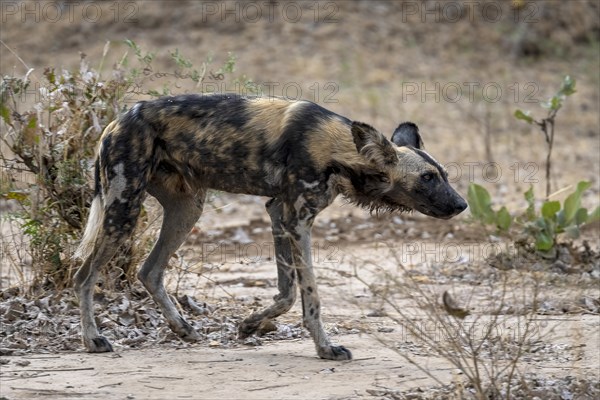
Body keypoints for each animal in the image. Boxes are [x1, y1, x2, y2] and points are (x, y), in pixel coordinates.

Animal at [75, 93, 466, 360]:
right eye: (428, 178)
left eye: (445, 175)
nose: (462, 204)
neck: (338, 150)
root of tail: (116, 120)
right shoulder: (297, 220)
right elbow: (310, 294)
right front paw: (325, 348)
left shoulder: (279, 213)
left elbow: (287, 291)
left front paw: (250, 325)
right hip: (124, 209)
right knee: (84, 276)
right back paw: (93, 341)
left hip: (187, 209)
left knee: (150, 270)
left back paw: (185, 330)